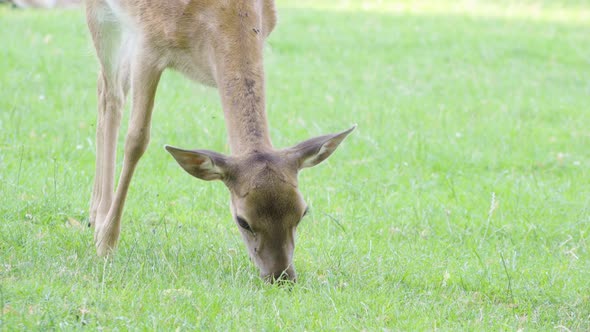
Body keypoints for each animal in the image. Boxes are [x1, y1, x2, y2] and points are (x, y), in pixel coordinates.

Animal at [86, 0, 356, 284]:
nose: (281, 276)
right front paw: (106, 243)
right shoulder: (148, 44)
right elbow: (137, 139)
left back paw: (93, 213)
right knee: (111, 93)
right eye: (242, 220)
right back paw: (101, 220)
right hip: (101, 16)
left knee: (106, 87)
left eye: (303, 212)